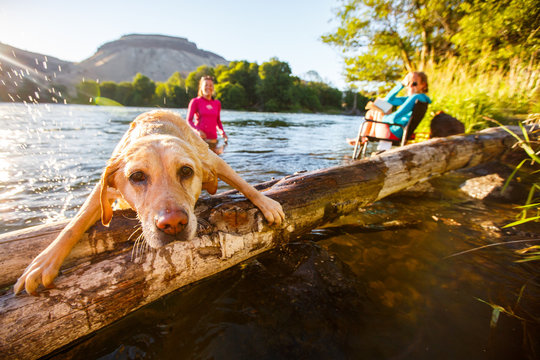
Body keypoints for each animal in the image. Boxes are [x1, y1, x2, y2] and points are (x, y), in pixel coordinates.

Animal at [13, 109, 282, 296]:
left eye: (186, 171)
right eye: (137, 176)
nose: (173, 224)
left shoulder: (211, 159)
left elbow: (241, 181)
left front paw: (266, 203)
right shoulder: (103, 186)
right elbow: (74, 224)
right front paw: (44, 262)